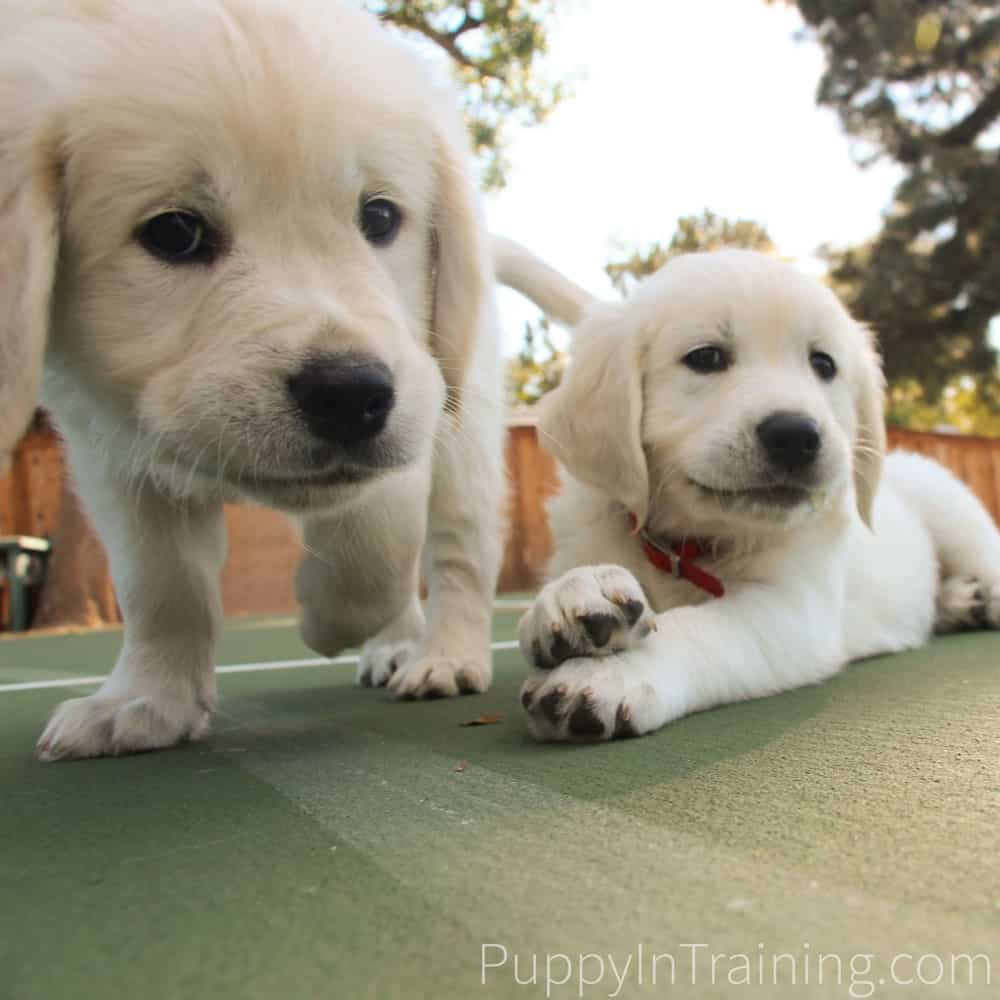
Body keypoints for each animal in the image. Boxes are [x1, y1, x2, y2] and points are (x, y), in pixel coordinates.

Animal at [0, 1, 504, 764]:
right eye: (174, 232)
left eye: (381, 216)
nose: (348, 394)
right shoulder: (109, 445)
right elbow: (160, 582)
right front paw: (147, 699)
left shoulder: (416, 389)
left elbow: (377, 534)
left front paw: (329, 617)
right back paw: (395, 644)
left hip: (462, 405)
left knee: (457, 551)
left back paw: (444, 654)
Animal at [492, 238, 1000, 744]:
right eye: (705, 357)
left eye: (823, 364)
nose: (795, 435)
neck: (686, 548)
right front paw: (574, 594)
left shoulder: (791, 609)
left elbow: (700, 630)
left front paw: (607, 675)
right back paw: (960, 603)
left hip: (952, 509)